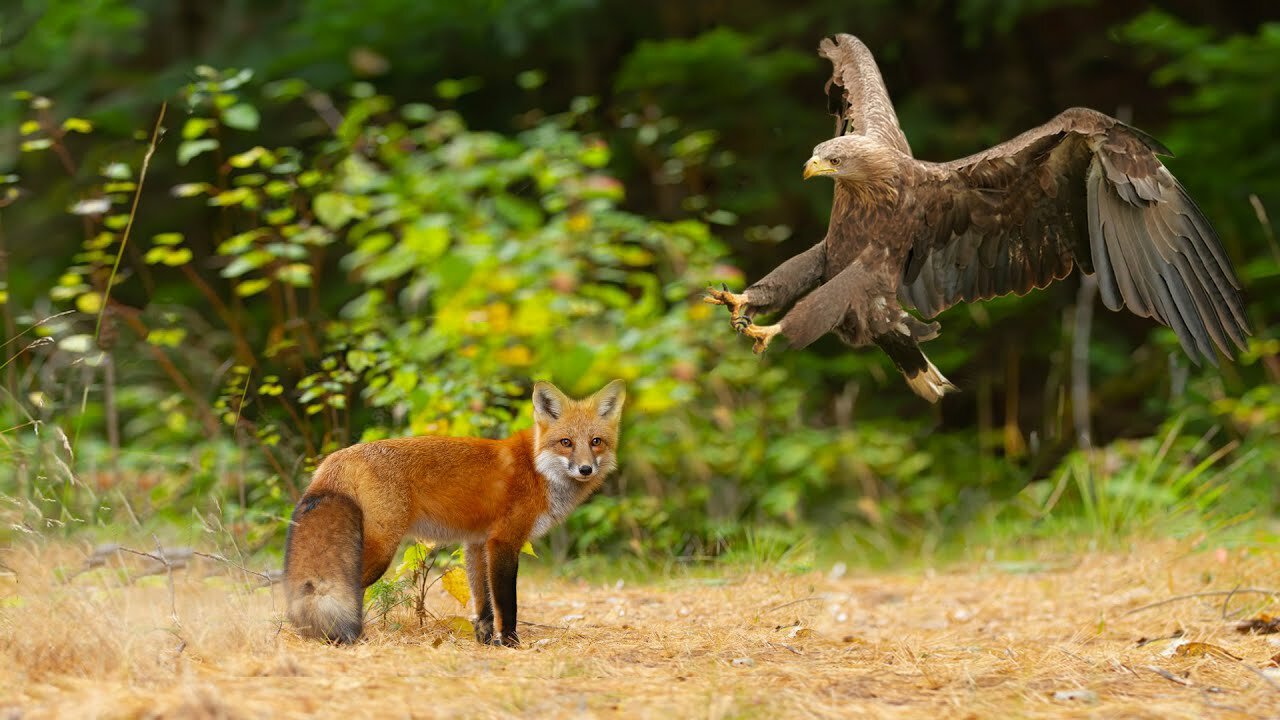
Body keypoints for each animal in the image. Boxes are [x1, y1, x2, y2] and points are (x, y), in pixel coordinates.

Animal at [282, 379, 622, 640]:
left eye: (596, 441)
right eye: (566, 442)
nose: (586, 469)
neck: (537, 469)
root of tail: (336, 457)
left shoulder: (476, 543)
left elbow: (483, 604)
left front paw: (486, 641)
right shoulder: (503, 541)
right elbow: (506, 604)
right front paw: (510, 642)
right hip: (380, 550)